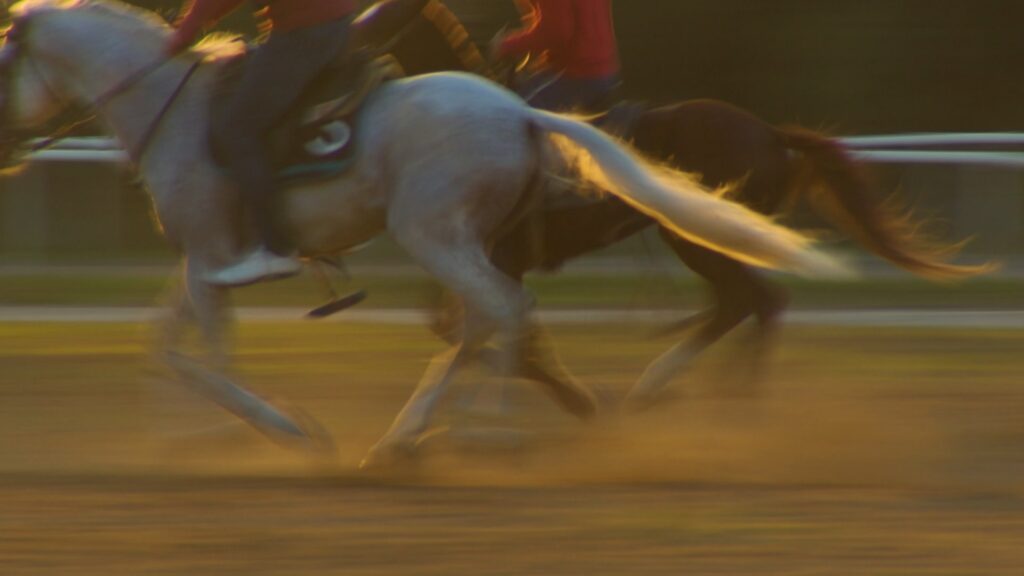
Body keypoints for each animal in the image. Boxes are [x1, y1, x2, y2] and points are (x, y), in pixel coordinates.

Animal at [0, 0, 847, 467]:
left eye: (3, 59)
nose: (8, 148)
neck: (172, 108)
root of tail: (519, 115)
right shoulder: (202, 261)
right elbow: (163, 345)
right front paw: (187, 442)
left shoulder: (211, 257)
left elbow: (210, 359)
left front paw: (283, 431)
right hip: (461, 242)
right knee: (498, 320)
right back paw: (423, 438)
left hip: (437, 236)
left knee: (505, 313)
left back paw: (489, 436)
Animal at [350, 0, 983, 403]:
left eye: (377, 17)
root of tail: (771, 134)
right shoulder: (483, 253)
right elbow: (459, 321)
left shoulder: (490, 252)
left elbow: (466, 321)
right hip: (714, 240)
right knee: (748, 305)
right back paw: (704, 392)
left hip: (698, 242)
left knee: (752, 302)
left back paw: (686, 392)